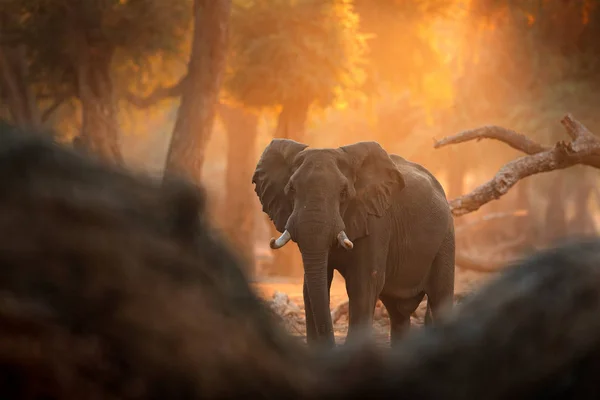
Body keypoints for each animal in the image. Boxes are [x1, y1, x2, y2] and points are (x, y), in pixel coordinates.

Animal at [252, 140, 454, 346]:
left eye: (343, 192)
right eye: (291, 189)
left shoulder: (375, 221)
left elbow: (363, 284)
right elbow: (311, 287)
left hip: (446, 239)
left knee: (439, 299)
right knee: (398, 313)